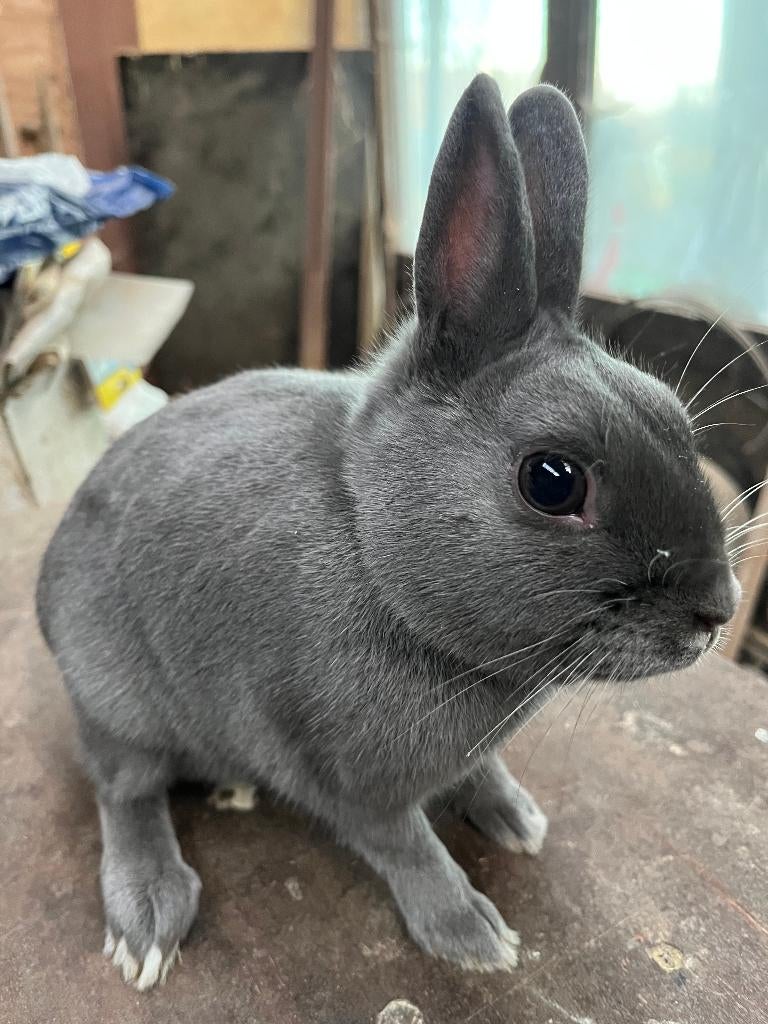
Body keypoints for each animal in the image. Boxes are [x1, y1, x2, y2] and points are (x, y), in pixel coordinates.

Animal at [36, 74, 740, 990]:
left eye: (673, 418)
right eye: (552, 481)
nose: (717, 612)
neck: (373, 550)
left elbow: (478, 774)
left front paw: (517, 817)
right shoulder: (341, 775)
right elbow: (407, 848)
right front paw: (472, 936)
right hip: (118, 699)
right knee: (122, 789)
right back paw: (149, 916)